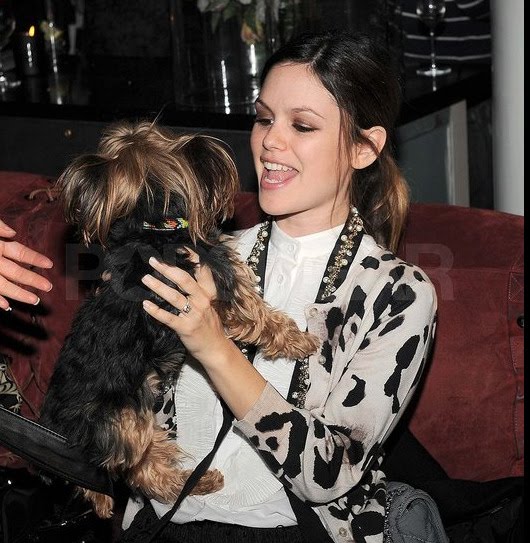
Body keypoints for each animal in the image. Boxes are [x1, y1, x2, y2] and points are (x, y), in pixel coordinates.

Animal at [38, 121, 320, 519]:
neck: (154, 224)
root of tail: (55, 423)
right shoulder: (222, 280)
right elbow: (260, 315)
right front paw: (301, 341)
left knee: (138, 466)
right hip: (126, 418)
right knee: (132, 468)